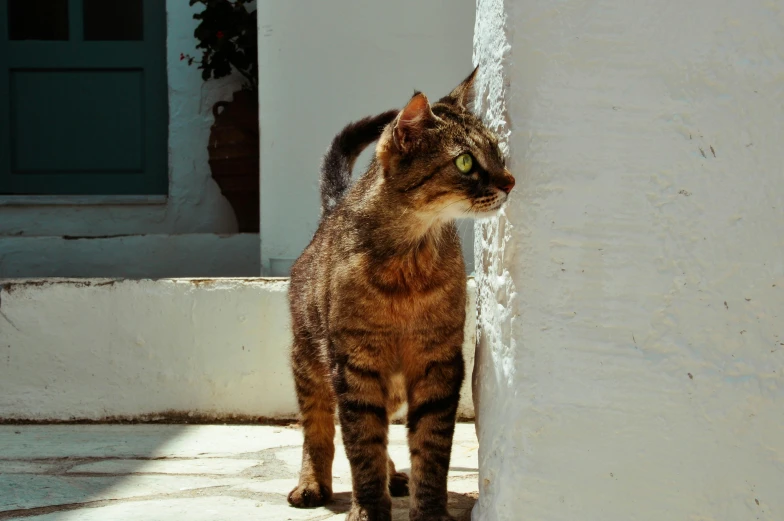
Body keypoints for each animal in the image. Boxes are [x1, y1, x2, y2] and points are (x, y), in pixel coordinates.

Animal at [288, 70, 516, 520]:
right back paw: (312, 483)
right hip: (309, 362)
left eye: (497, 153)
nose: (511, 181)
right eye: (465, 162)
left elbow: (430, 446)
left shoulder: (439, 362)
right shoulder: (354, 367)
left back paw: (394, 474)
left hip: (389, 387)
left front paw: (429, 510)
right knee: (318, 427)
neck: (409, 266)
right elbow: (361, 445)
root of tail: (333, 207)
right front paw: (368, 509)